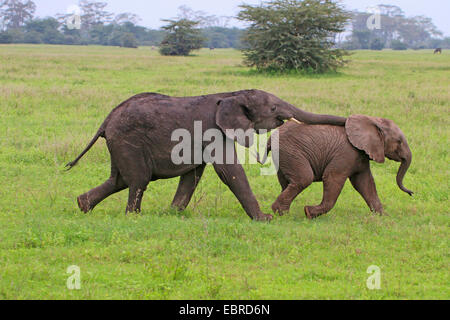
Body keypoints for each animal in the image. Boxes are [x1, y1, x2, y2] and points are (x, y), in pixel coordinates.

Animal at [67, 89, 346, 220]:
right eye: (273, 108)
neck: (232, 94)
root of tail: (106, 120)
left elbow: (193, 175)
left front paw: (174, 214)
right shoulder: (214, 130)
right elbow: (229, 171)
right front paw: (264, 219)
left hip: (121, 142)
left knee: (119, 180)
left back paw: (82, 205)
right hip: (129, 140)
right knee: (138, 180)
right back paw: (133, 217)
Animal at [258, 115, 414, 220]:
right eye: (399, 142)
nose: (411, 193)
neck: (371, 120)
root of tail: (270, 139)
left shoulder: (360, 155)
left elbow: (365, 183)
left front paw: (383, 216)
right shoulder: (346, 153)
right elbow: (333, 178)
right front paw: (308, 212)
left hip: (284, 155)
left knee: (287, 182)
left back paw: (283, 213)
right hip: (291, 152)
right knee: (304, 178)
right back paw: (279, 212)